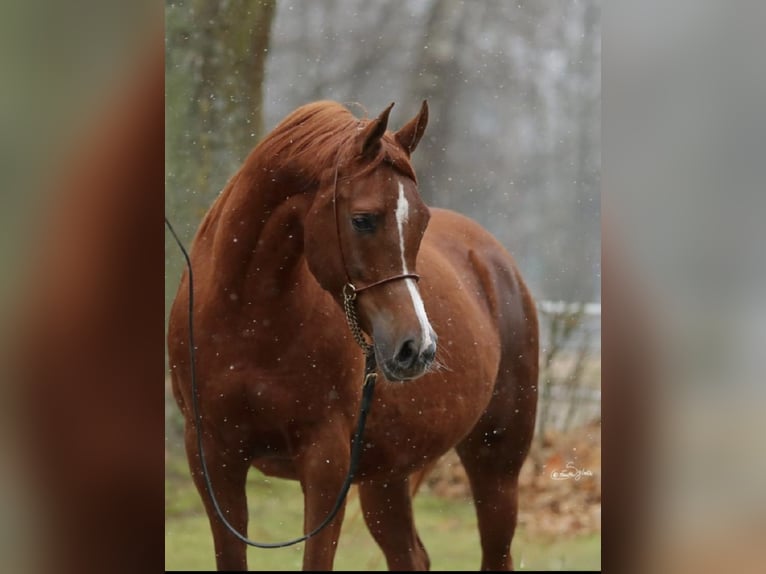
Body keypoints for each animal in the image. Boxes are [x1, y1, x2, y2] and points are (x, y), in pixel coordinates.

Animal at [167, 100, 539, 571]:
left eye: (422, 222)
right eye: (363, 220)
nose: (417, 348)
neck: (247, 321)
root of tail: (494, 260)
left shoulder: (326, 462)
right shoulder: (213, 460)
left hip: (496, 465)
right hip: (388, 477)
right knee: (410, 555)